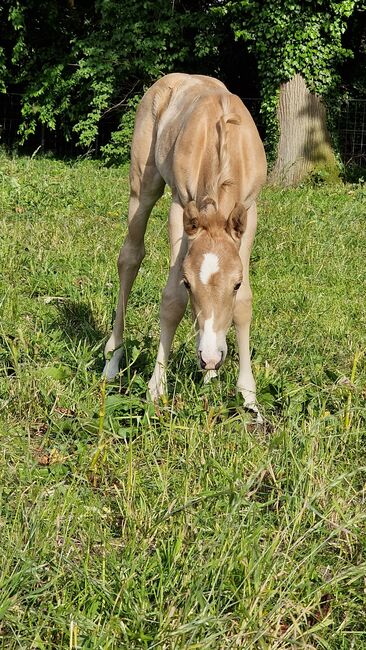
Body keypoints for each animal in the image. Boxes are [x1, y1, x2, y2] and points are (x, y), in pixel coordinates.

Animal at [104, 73, 268, 422]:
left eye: (235, 284)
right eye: (188, 283)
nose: (210, 357)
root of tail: (173, 78)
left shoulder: (249, 212)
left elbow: (244, 304)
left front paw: (248, 398)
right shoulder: (180, 208)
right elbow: (172, 301)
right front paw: (156, 390)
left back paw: (209, 373)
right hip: (144, 185)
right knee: (130, 257)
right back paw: (113, 360)